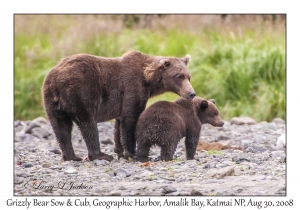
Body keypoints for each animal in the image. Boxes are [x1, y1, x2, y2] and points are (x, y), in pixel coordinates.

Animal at [42, 50, 197, 161]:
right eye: (179, 76)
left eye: (188, 77)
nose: (191, 93)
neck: (148, 80)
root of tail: (55, 77)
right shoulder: (132, 86)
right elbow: (130, 119)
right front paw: (131, 153)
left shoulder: (119, 103)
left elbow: (118, 124)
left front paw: (120, 151)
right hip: (81, 91)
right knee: (88, 123)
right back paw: (100, 155)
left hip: (51, 100)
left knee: (61, 127)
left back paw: (72, 156)